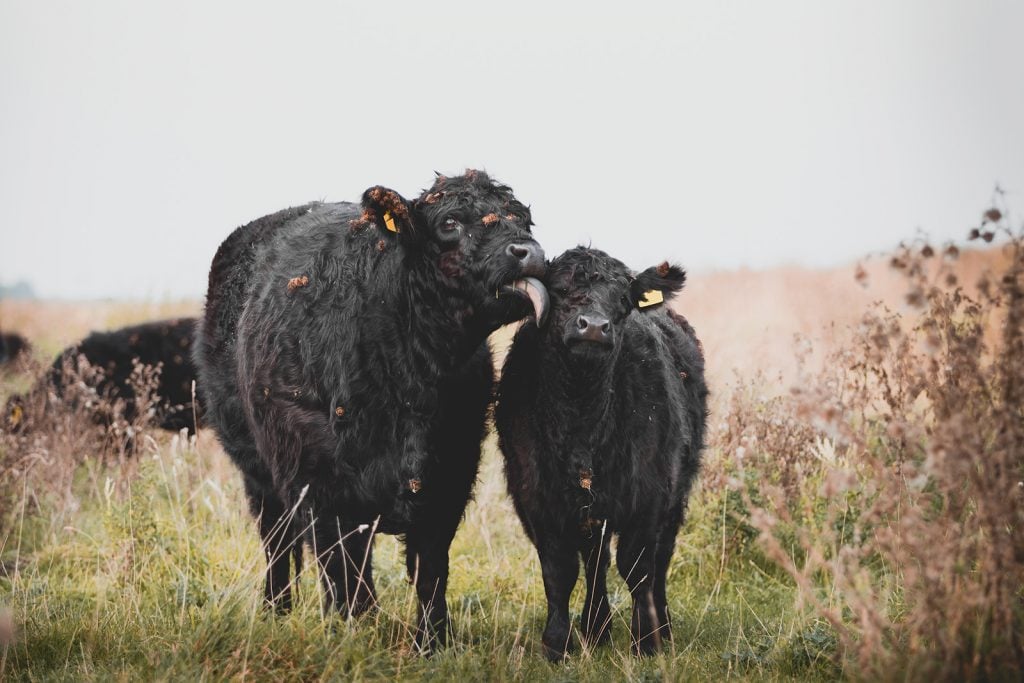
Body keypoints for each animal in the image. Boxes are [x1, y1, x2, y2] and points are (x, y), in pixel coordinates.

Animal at [191, 167, 544, 651]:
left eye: (523, 220)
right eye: (450, 222)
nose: (528, 253)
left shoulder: (450, 476)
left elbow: (430, 570)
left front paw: (432, 643)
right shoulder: (321, 486)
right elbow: (345, 576)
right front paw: (355, 638)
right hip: (257, 473)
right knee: (278, 543)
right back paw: (275, 611)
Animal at [493, 248, 704, 659]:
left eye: (622, 300)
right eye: (559, 290)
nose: (592, 326)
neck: (582, 418)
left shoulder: (648, 494)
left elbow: (638, 567)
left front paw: (646, 641)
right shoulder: (538, 498)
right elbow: (559, 572)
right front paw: (557, 644)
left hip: (675, 494)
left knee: (660, 559)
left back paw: (662, 627)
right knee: (595, 559)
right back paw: (596, 627)